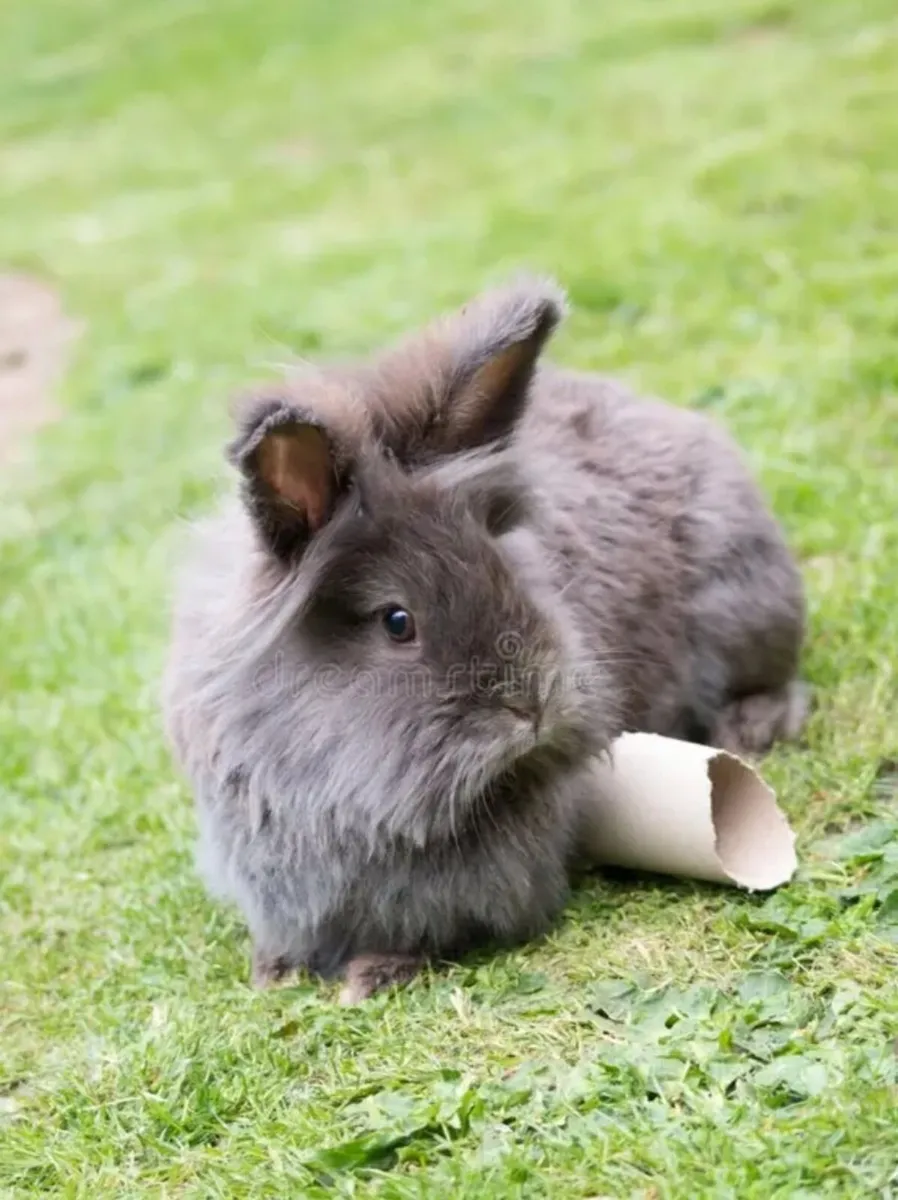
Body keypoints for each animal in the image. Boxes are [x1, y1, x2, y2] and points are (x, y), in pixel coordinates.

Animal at [161, 276, 807, 1002]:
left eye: (504, 562)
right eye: (397, 621)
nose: (532, 708)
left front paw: (372, 975)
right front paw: (271, 972)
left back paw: (750, 729)